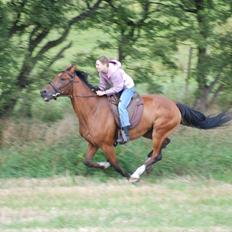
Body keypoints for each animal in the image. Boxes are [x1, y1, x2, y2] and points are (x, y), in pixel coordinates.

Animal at [40, 64, 231, 182]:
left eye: (62, 78)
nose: (43, 92)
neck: (92, 109)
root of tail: (174, 104)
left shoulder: (106, 144)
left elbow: (116, 165)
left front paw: (129, 176)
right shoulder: (93, 144)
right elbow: (88, 161)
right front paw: (104, 164)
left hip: (158, 131)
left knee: (157, 153)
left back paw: (139, 172)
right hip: (150, 132)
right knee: (162, 148)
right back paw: (147, 165)